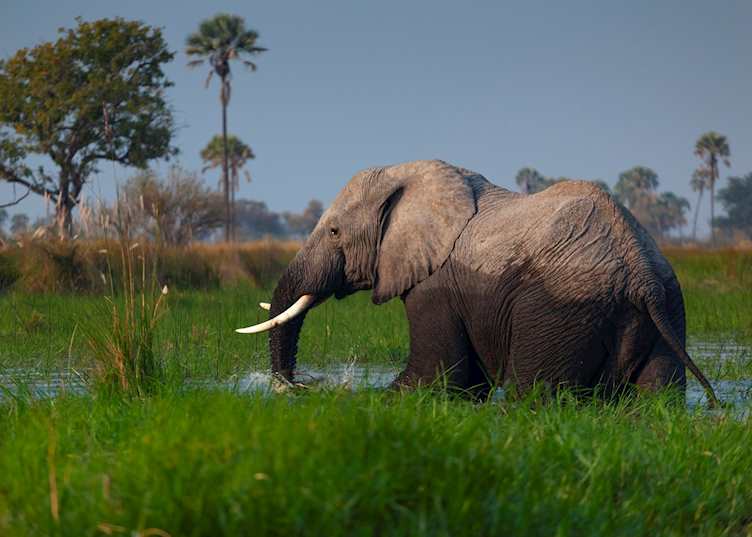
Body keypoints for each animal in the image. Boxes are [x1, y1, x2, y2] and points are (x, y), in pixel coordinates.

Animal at [237, 160, 718, 405]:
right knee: (657, 398)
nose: (299, 386)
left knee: (536, 395)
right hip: (668, 310)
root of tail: (641, 273)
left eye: (335, 231)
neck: (411, 177)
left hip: (558, 313)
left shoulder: (435, 287)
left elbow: (437, 378)